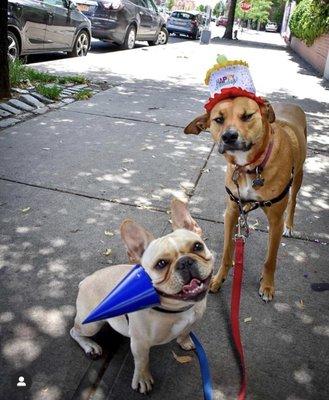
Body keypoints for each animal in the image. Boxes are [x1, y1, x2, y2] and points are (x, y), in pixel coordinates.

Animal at [70, 198, 213, 392]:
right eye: (161, 264)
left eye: (198, 246)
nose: (184, 262)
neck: (178, 309)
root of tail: (85, 281)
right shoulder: (140, 343)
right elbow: (142, 361)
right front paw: (143, 379)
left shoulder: (194, 320)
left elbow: (185, 331)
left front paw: (185, 341)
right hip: (91, 325)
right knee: (74, 331)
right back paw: (90, 346)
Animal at [183, 98, 306, 302]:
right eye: (218, 119)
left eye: (247, 116)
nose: (229, 136)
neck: (251, 167)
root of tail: (291, 104)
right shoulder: (231, 212)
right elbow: (227, 253)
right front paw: (218, 279)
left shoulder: (276, 221)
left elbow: (271, 259)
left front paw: (267, 285)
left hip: (298, 177)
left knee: (294, 201)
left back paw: (289, 225)